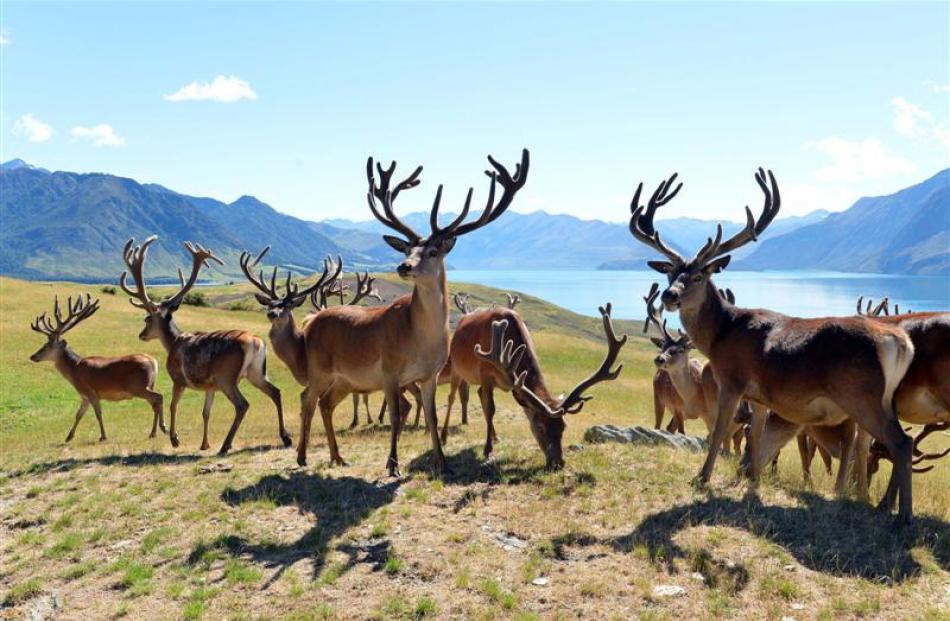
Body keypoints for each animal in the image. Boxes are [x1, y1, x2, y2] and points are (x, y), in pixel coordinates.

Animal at [30, 294, 165, 444]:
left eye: (46, 345)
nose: (33, 356)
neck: (74, 370)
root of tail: (153, 362)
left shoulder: (90, 391)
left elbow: (98, 413)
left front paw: (103, 436)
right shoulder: (84, 396)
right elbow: (78, 414)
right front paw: (69, 436)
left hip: (137, 386)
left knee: (159, 397)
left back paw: (161, 429)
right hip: (148, 385)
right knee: (155, 403)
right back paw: (154, 432)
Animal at [121, 235, 290, 452]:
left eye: (147, 319)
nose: (141, 335)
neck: (173, 342)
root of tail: (255, 341)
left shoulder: (178, 378)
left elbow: (173, 405)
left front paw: (174, 438)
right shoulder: (210, 386)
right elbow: (206, 412)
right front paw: (204, 444)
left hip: (227, 376)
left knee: (243, 404)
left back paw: (226, 445)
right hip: (256, 372)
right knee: (276, 392)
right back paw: (285, 437)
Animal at [298, 150, 532, 474]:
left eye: (433, 251)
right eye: (407, 250)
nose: (403, 266)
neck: (420, 342)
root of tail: (309, 323)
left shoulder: (429, 375)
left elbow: (431, 415)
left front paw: (441, 460)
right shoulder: (389, 371)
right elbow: (396, 416)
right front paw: (392, 465)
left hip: (344, 377)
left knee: (325, 403)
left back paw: (337, 456)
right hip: (319, 367)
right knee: (307, 399)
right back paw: (302, 456)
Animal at [462, 302, 632, 468]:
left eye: (564, 426)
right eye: (539, 427)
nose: (558, 463)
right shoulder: (486, 374)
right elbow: (490, 408)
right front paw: (487, 451)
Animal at [628, 167, 920, 520]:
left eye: (699, 275)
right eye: (671, 275)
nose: (669, 296)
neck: (721, 334)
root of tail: (901, 343)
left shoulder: (733, 379)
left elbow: (718, 431)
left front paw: (702, 478)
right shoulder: (759, 396)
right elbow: (755, 436)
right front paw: (752, 480)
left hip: (862, 394)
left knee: (901, 442)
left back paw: (902, 516)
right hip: (882, 399)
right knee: (886, 444)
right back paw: (881, 505)